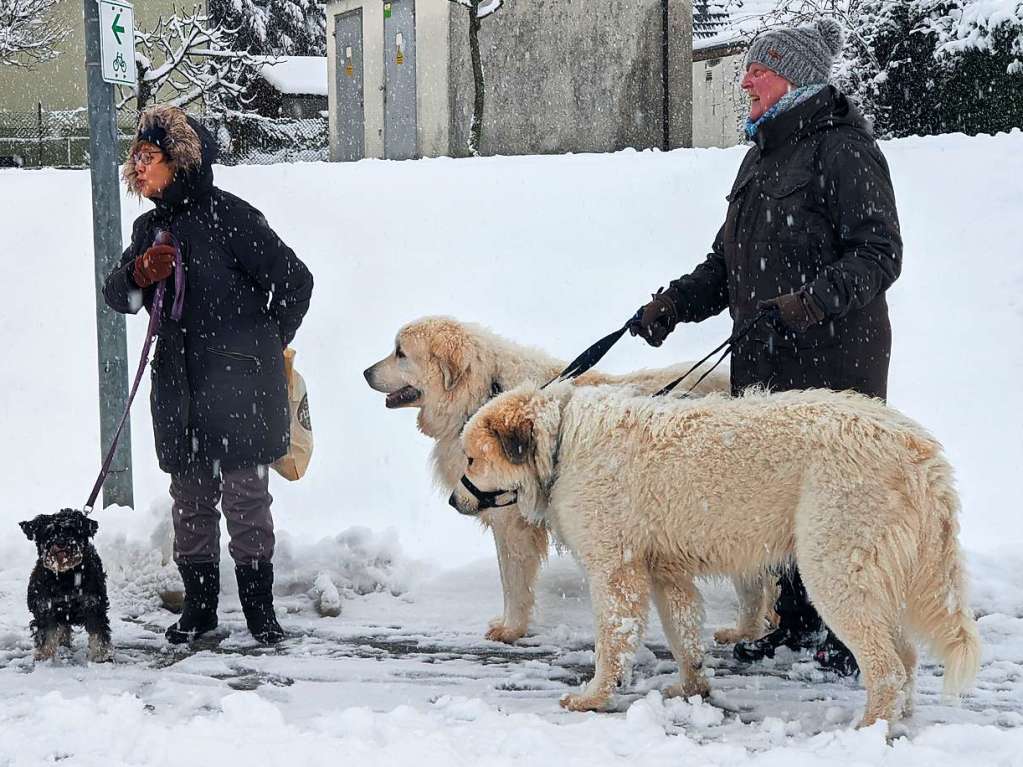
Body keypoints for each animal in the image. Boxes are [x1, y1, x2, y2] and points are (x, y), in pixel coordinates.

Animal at [19, 507, 112, 662]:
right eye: (49, 532)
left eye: (72, 530)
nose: (61, 543)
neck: (65, 576)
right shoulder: (45, 607)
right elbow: (46, 633)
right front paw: (44, 656)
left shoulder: (93, 605)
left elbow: (98, 632)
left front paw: (101, 655)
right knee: (63, 626)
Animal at [454, 386, 982, 728]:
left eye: (472, 459)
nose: (454, 501)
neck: (562, 443)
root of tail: (918, 450)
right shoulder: (664, 569)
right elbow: (682, 630)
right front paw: (691, 688)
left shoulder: (614, 567)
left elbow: (613, 637)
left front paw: (594, 696)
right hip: (876, 572)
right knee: (905, 655)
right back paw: (900, 717)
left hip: (836, 565)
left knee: (886, 664)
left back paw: (870, 728)